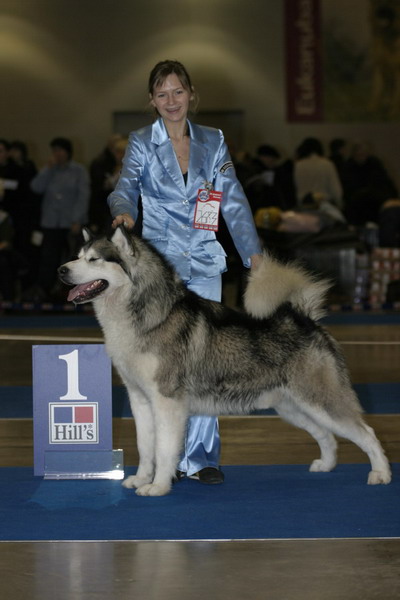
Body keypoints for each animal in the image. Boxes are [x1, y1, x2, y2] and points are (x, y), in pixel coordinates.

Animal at [57, 227, 392, 494]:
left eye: (94, 260)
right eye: (77, 256)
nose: (61, 270)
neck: (144, 316)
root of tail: (303, 318)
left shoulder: (167, 403)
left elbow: (164, 450)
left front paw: (158, 487)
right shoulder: (140, 400)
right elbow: (145, 447)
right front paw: (141, 479)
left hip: (320, 400)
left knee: (367, 433)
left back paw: (381, 474)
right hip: (293, 407)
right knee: (326, 434)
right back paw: (326, 464)